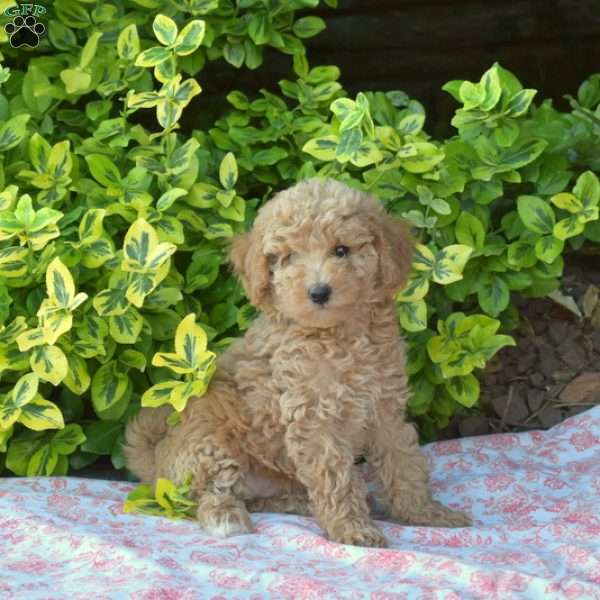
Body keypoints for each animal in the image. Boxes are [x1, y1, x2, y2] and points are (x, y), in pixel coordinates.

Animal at [124, 176, 472, 548]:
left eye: (341, 250)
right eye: (289, 257)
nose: (318, 292)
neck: (339, 336)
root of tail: (156, 462)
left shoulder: (385, 409)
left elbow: (404, 463)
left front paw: (427, 514)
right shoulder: (314, 418)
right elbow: (336, 479)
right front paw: (353, 529)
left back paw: (300, 503)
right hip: (210, 445)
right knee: (206, 495)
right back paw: (226, 517)